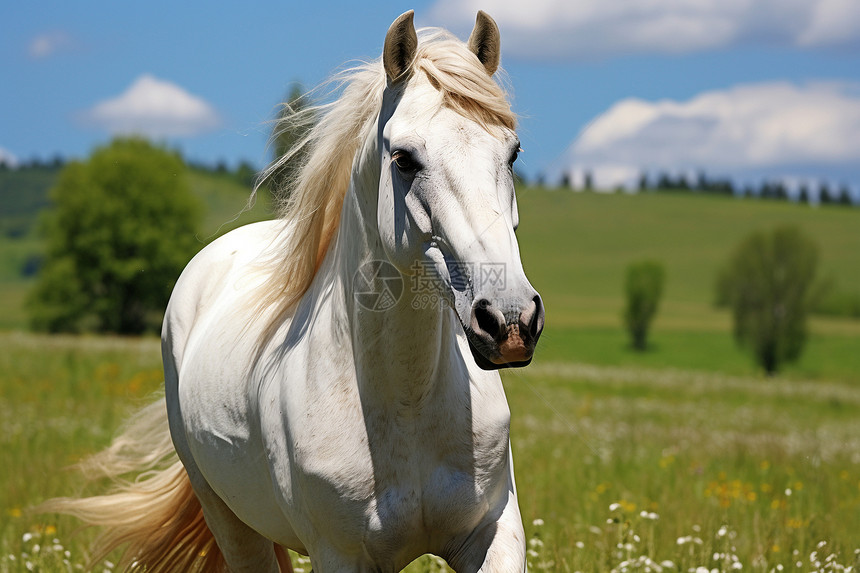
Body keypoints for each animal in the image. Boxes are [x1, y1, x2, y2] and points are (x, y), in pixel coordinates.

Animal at [42, 10, 544, 572]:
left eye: (513, 152)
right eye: (404, 159)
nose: (510, 321)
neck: (407, 405)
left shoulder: (493, 532)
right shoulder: (341, 556)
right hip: (230, 521)